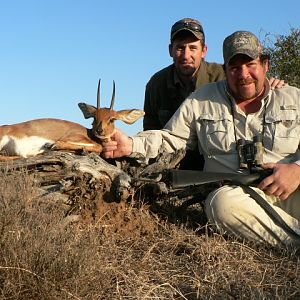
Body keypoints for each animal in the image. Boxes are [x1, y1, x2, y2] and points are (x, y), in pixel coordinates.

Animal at [0, 79, 145, 159]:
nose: (99, 130)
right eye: (94, 117)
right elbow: (98, 146)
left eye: (112, 119)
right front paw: (53, 145)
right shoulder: (72, 137)